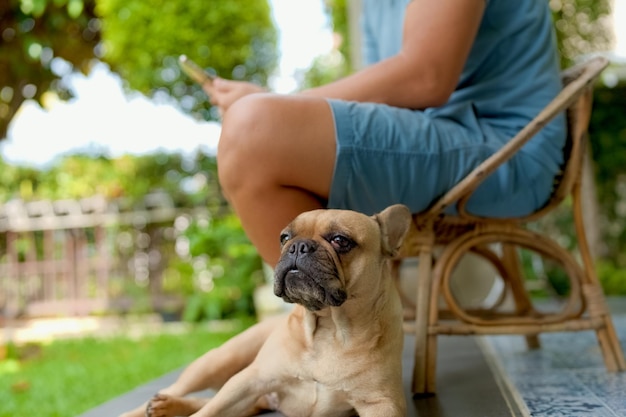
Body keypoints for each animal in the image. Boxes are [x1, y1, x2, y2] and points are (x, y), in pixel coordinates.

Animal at [124, 204, 412, 416]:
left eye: (340, 240)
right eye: (284, 237)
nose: (298, 246)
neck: (329, 326)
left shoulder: (382, 403)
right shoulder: (251, 379)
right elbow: (207, 412)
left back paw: (167, 407)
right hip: (217, 362)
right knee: (183, 390)